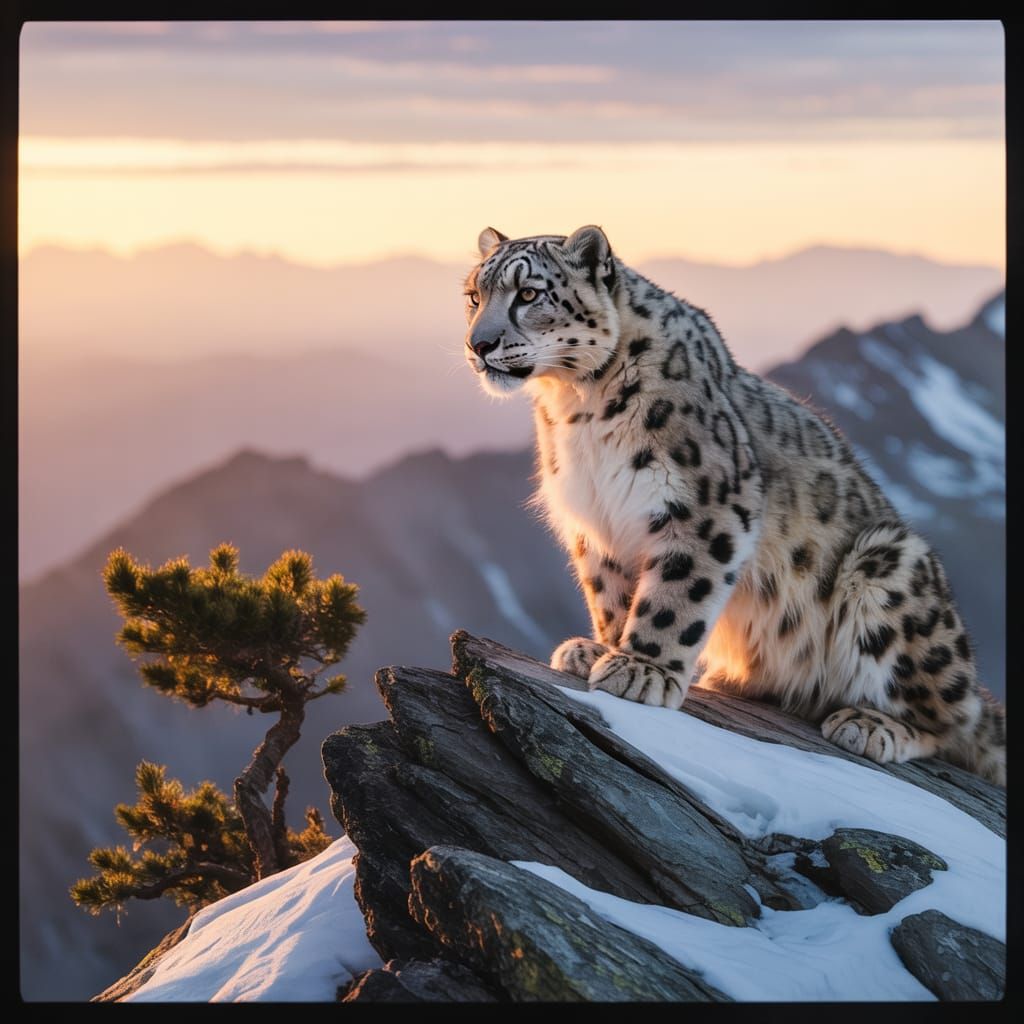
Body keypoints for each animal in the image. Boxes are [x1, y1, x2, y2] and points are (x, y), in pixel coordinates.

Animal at [462, 224, 1006, 786]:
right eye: (475, 296)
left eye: (529, 294)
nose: (478, 343)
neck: (576, 408)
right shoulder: (595, 521)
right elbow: (609, 593)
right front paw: (600, 648)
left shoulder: (706, 505)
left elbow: (674, 595)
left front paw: (641, 669)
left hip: (891, 565)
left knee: (951, 721)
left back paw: (870, 724)